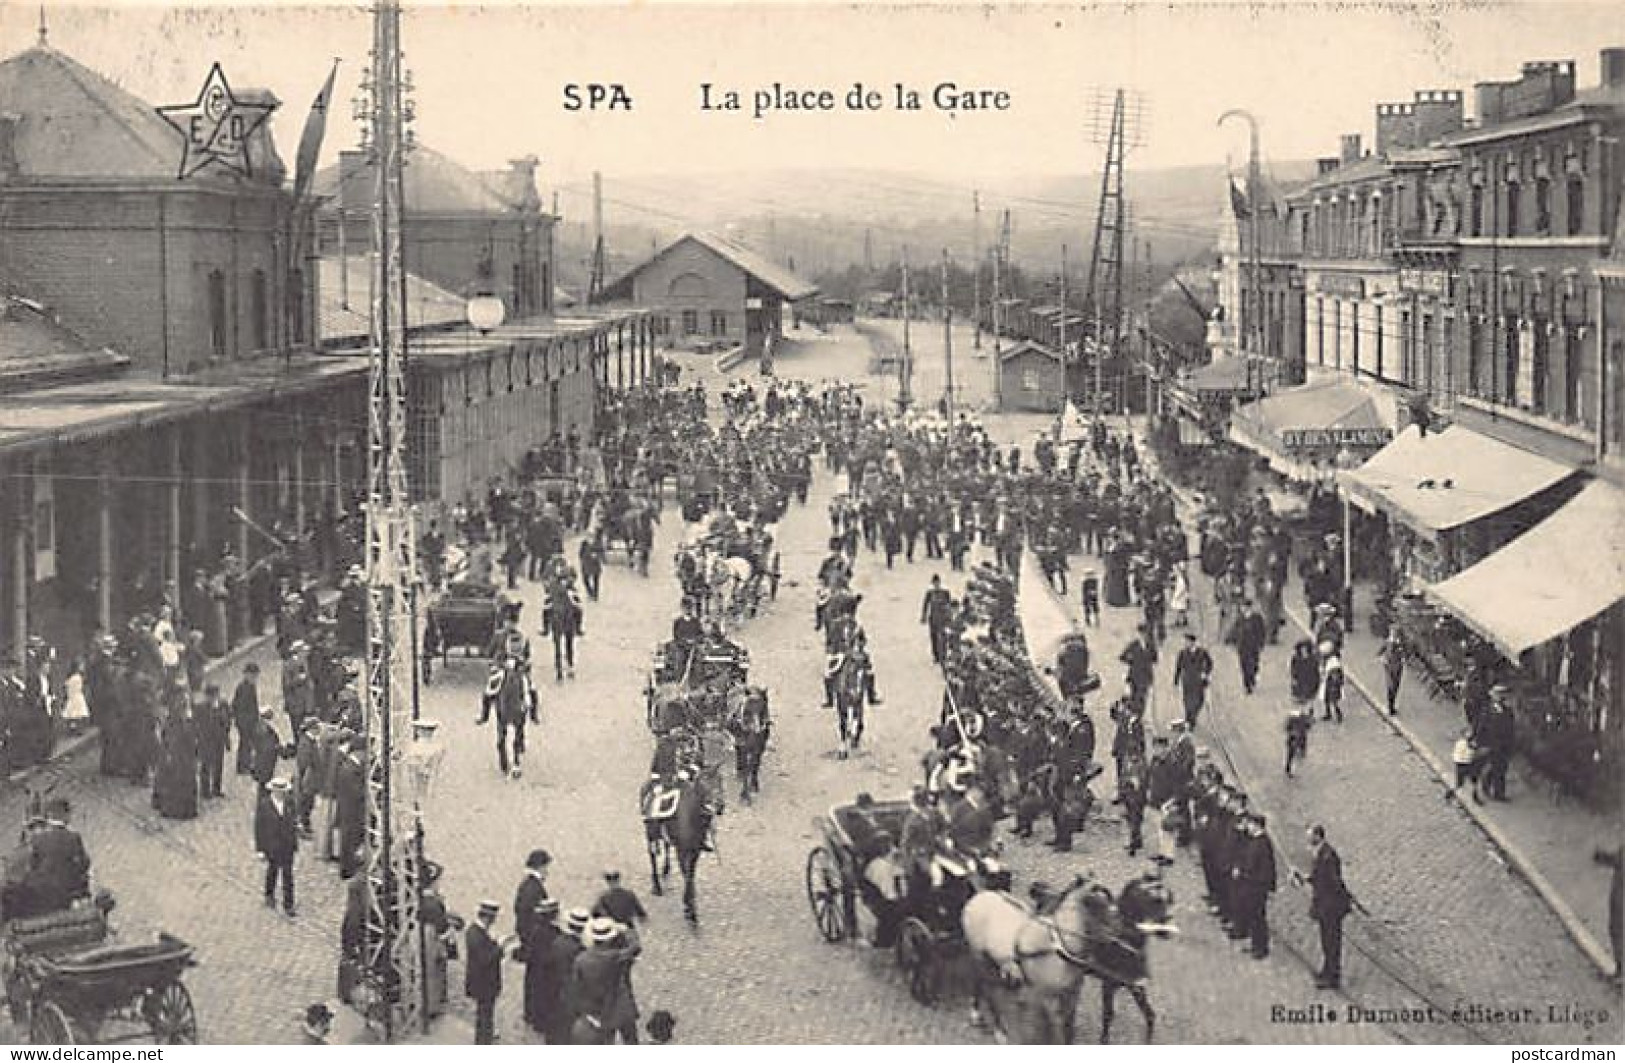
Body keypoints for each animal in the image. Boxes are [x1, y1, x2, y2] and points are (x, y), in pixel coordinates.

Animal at [637, 770, 715, 929]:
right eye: (703, 783)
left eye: (719, 781)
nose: (719, 805)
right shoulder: (682, 852)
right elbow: (688, 877)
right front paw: (691, 912)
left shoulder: (695, 853)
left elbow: (691, 876)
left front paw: (690, 909)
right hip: (650, 833)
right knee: (652, 856)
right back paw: (656, 886)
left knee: (666, 847)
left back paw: (666, 870)